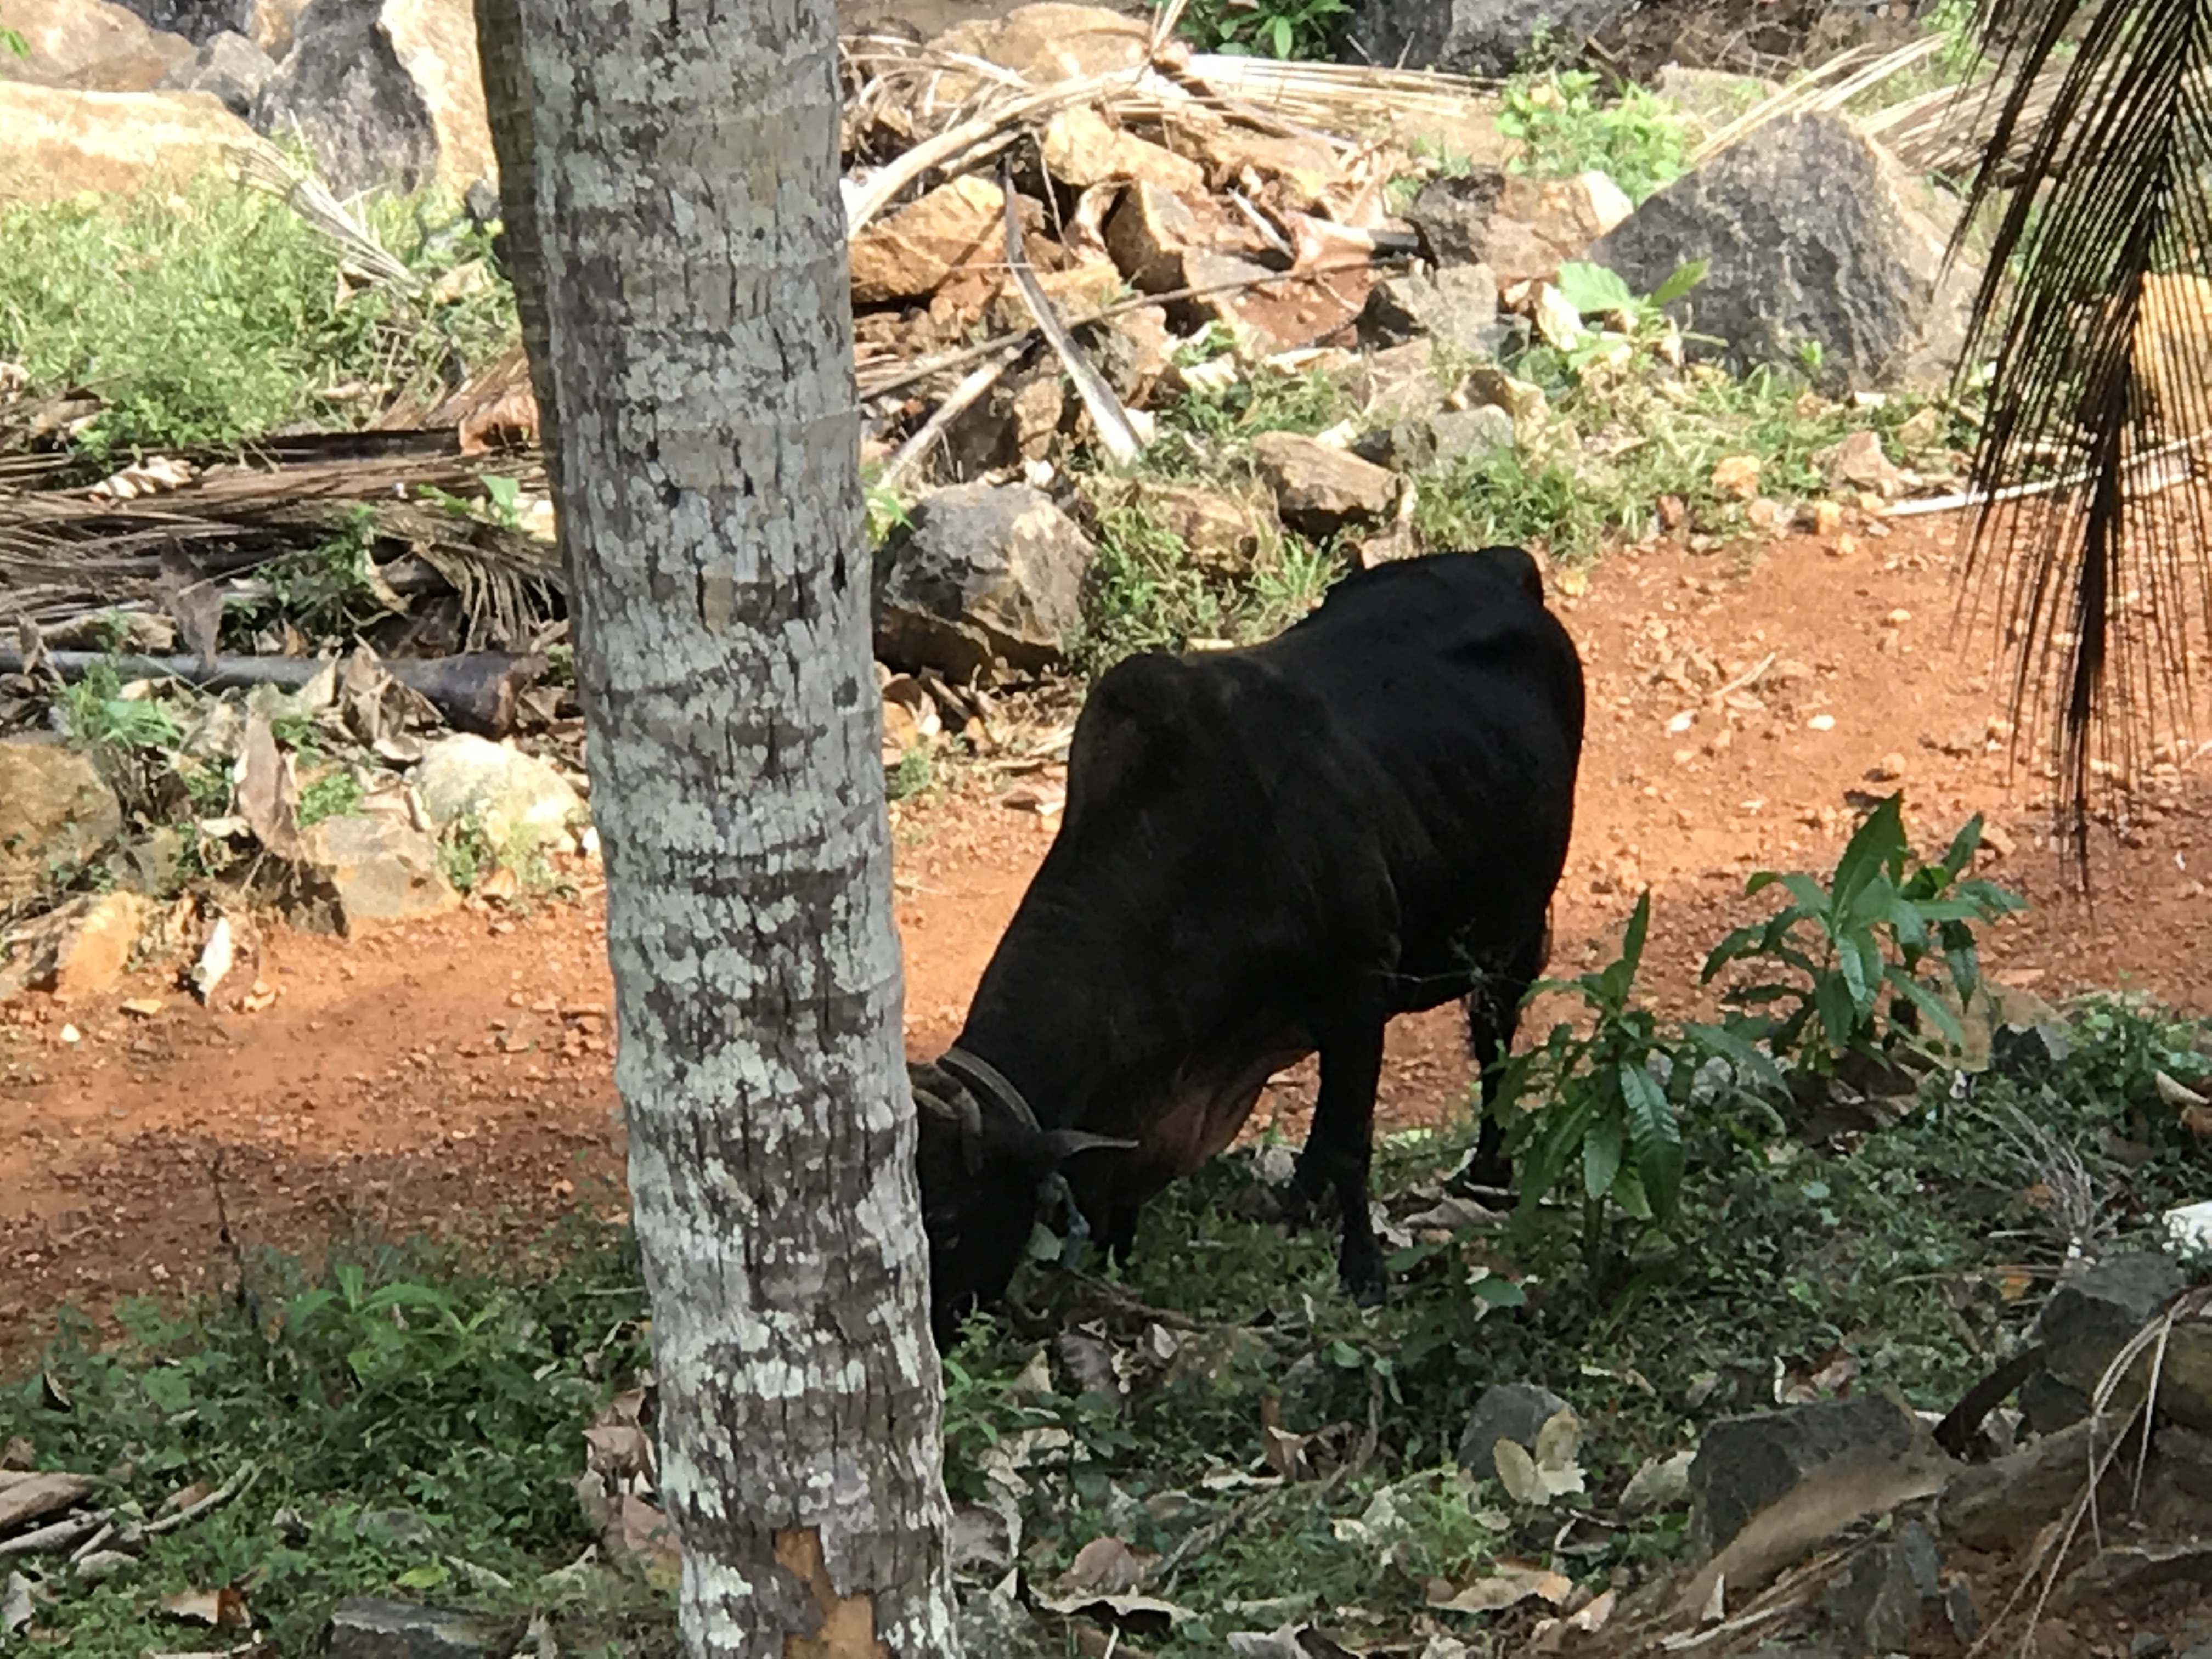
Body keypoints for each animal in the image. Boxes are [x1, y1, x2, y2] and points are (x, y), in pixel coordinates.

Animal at [910, 546, 1586, 1350]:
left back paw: (1487, 1171)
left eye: (950, 1220)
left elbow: (1353, 1144)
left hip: (1513, 935)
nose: (934, 1334)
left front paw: (1364, 1275)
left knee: (1494, 1050)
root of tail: (1500, 563)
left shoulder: (1359, 991)